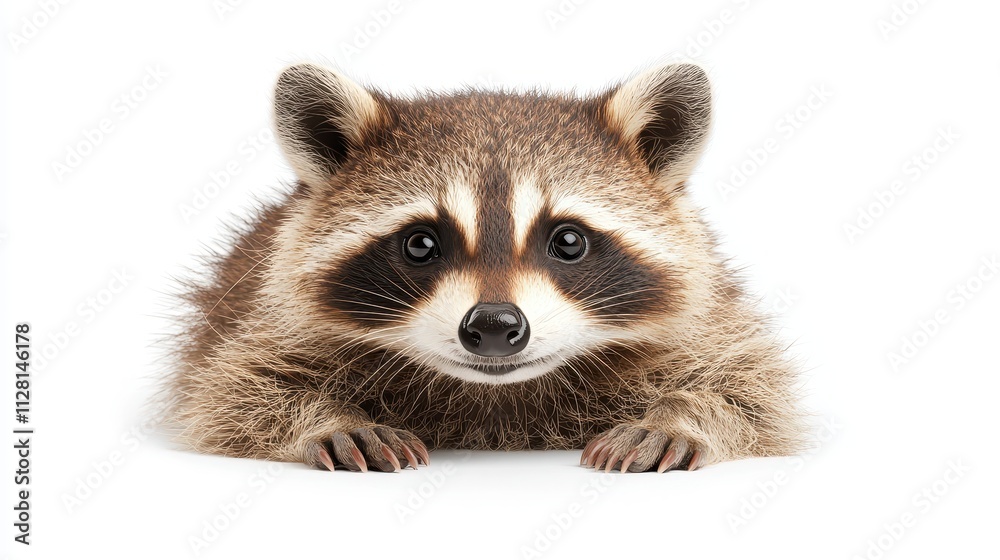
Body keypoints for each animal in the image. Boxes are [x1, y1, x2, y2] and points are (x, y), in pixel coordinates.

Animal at [165, 62, 805, 473]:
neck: (495, 397)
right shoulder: (263, 319)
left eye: (568, 241)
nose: (495, 325)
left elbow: (751, 390)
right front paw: (326, 418)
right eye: (421, 244)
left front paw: (678, 417)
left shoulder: (709, 317)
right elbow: (234, 391)